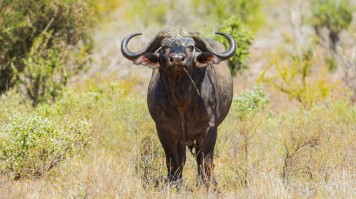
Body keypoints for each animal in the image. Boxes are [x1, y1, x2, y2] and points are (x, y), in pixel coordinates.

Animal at [121, 27, 235, 187]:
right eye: (164, 46)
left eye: (191, 47)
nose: (177, 59)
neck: (182, 102)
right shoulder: (164, 131)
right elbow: (174, 160)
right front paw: (174, 183)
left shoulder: (209, 130)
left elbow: (206, 159)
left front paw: (210, 184)